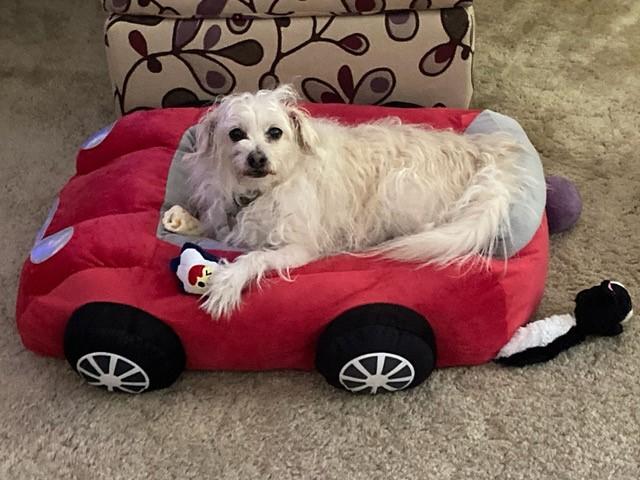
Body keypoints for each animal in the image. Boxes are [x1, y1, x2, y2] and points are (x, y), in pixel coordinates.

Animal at [162, 85, 528, 318]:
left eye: (275, 132)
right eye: (236, 134)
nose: (257, 158)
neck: (262, 191)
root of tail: (482, 152)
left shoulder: (299, 248)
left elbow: (255, 257)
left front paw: (228, 282)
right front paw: (181, 221)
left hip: (396, 187)